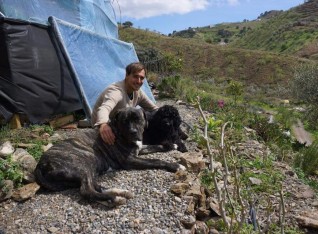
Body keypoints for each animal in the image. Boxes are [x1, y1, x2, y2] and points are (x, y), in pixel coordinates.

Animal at [34, 107, 184, 206]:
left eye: (138, 119)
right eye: (125, 121)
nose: (133, 132)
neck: (119, 132)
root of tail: (40, 165)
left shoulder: (140, 148)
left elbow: (156, 146)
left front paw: (172, 145)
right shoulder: (130, 160)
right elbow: (156, 160)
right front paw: (175, 165)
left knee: (94, 185)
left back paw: (119, 193)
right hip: (85, 160)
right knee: (86, 190)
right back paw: (114, 198)